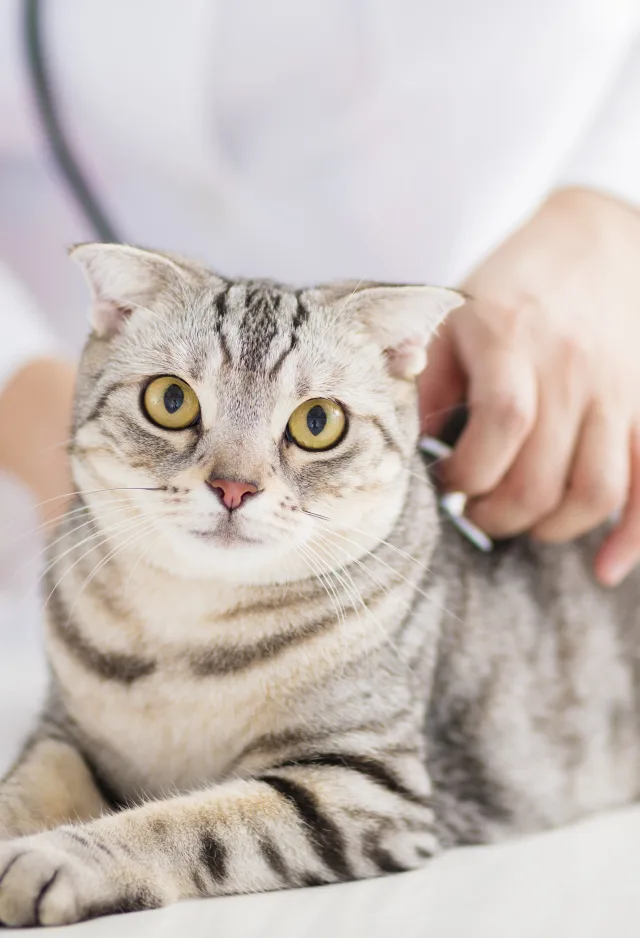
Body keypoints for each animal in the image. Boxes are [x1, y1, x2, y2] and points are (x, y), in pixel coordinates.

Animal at [1, 243, 640, 928]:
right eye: (171, 401)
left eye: (317, 422)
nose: (234, 487)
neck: (189, 638)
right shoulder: (64, 736)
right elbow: (25, 786)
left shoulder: (363, 786)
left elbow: (187, 823)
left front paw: (58, 857)